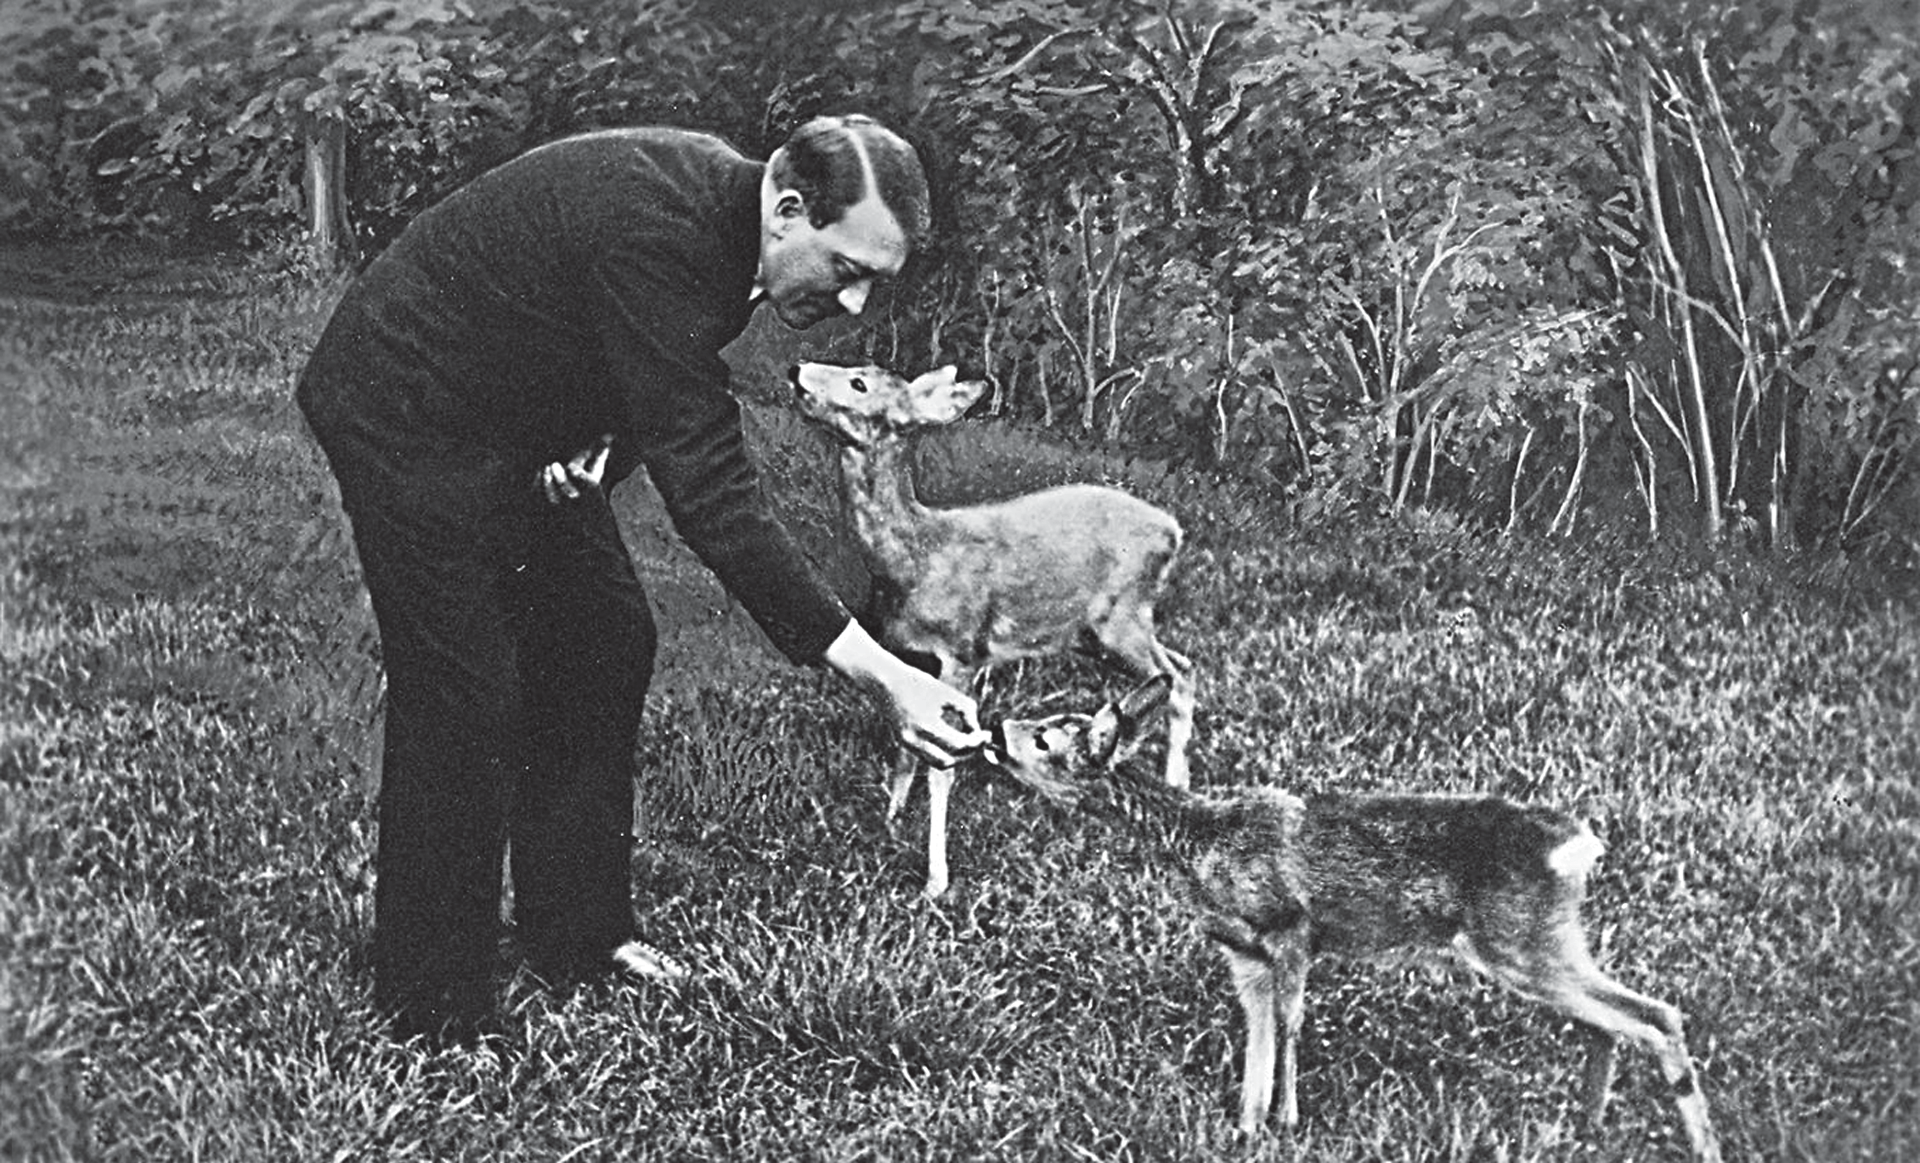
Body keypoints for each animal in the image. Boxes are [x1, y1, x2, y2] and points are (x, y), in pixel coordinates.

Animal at [787, 364, 1190, 901]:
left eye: (859, 383)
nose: (797, 371)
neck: (918, 557)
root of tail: (1174, 531)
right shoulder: (912, 657)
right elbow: (906, 747)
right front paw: (891, 817)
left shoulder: (963, 653)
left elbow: (942, 769)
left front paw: (935, 880)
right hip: (1095, 631)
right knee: (1180, 666)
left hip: (1119, 617)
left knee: (1176, 678)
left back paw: (1174, 785)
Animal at [990, 679, 1728, 1159]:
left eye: (1046, 735)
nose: (995, 729)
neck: (1201, 840)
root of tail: (1576, 845)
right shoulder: (1243, 951)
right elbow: (1258, 1036)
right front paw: (1247, 1126)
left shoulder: (1291, 927)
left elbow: (1289, 1025)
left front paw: (1287, 1122)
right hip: (1539, 943)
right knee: (1611, 1022)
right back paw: (1588, 1128)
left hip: (1519, 940)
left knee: (1657, 1015)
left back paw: (1698, 1146)